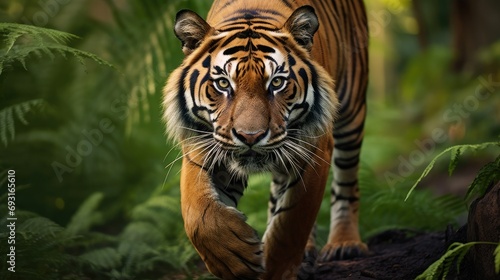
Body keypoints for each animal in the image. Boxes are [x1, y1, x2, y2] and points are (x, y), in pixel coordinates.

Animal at [162, 0, 370, 278]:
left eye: (277, 82)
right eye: (223, 84)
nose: (251, 136)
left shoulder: (315, 148)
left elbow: (291, 223)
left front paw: (274, 269)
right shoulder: (201, 147)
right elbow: (198, 213)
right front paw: (233, 255)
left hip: (351, 111)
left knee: (347, 181)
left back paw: (344, 244)